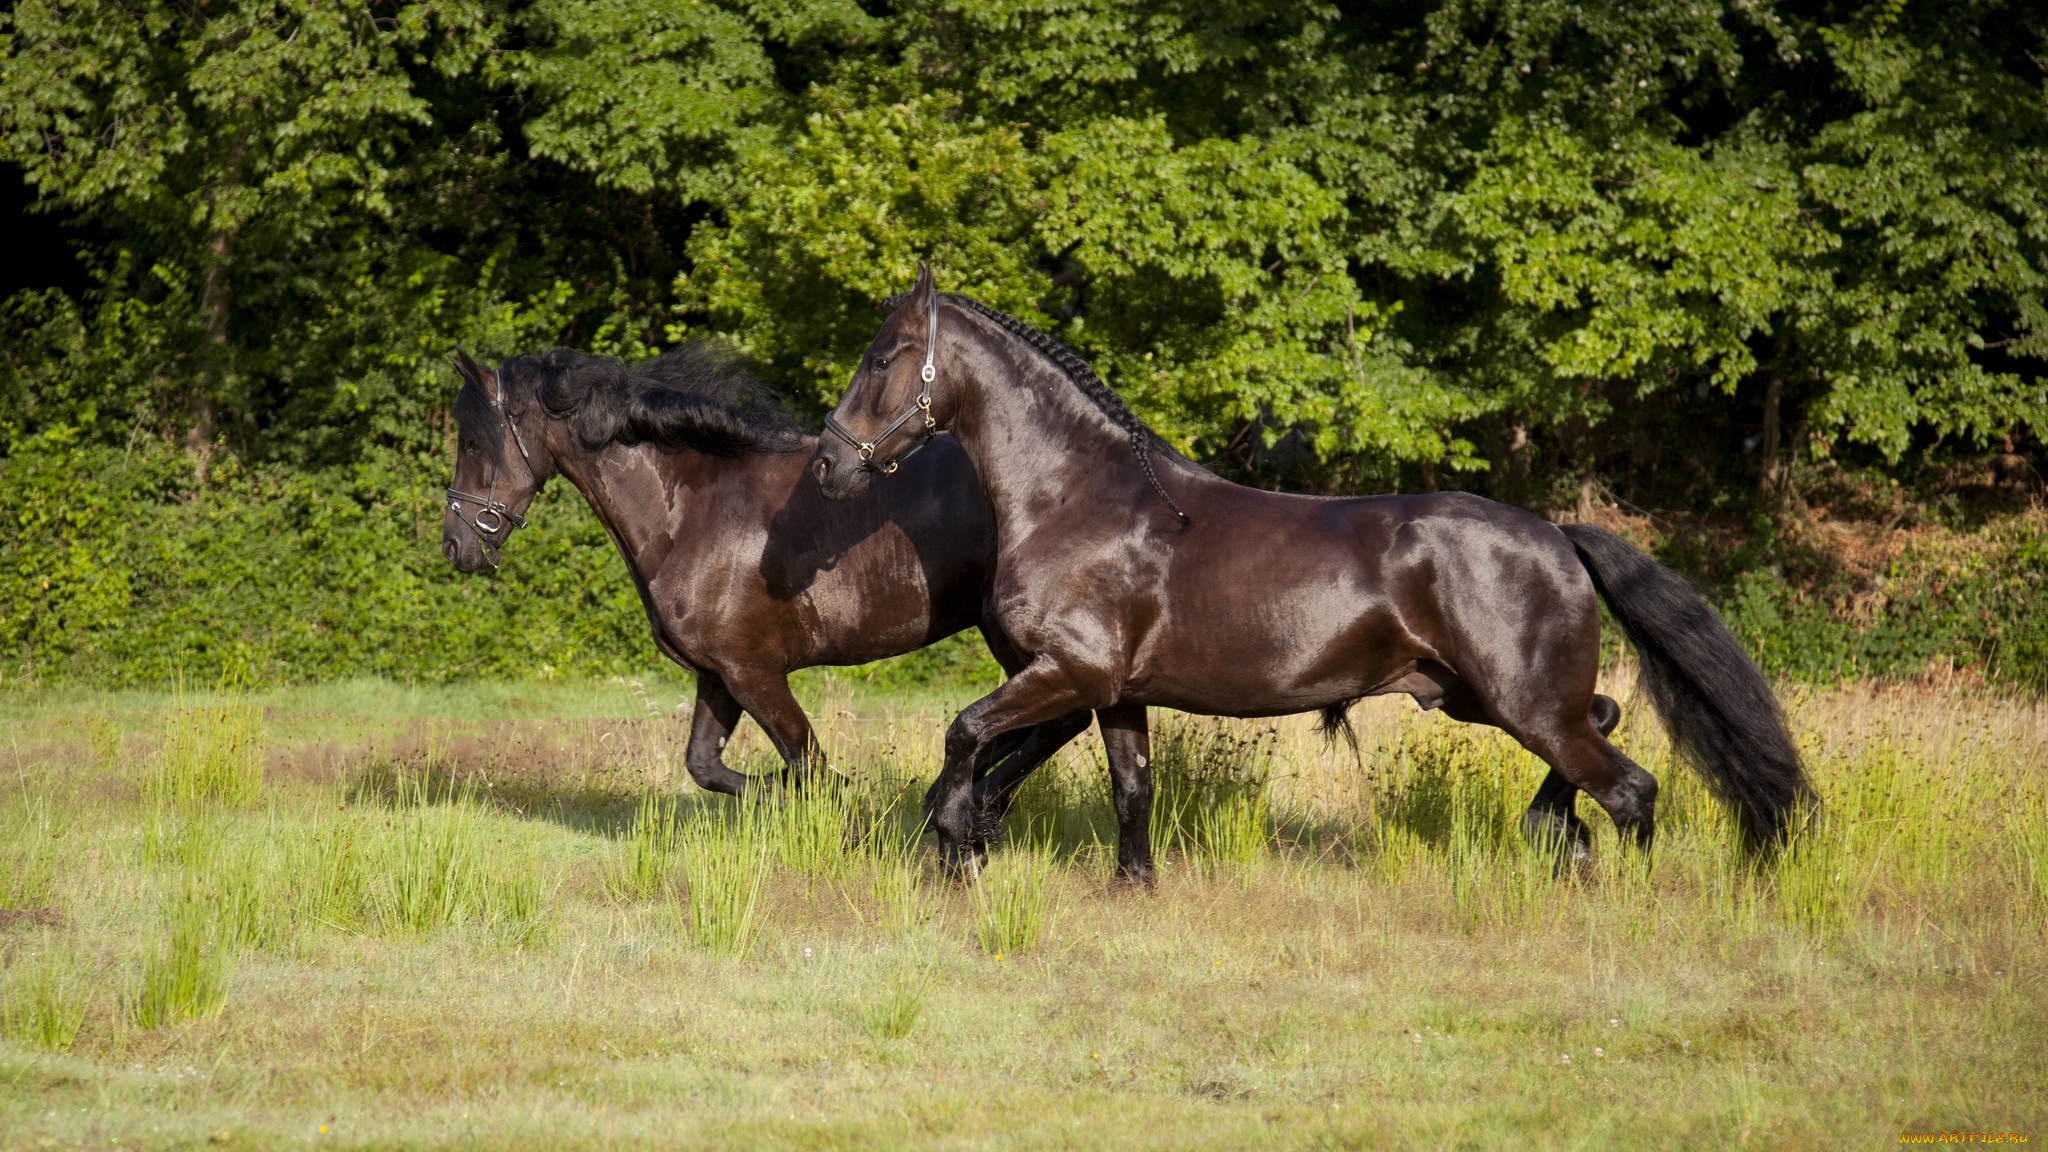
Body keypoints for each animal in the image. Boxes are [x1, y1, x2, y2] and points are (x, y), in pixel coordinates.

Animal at [442, 338, 1097, 787]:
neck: (691, 512)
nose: (455, 544)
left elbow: (806, 765)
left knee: (1059, 721)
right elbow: (708, 767)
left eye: (474, 442)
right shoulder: (718, 674)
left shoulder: (755, 673)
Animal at [811, 264, 1810, 877]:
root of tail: (1557, 536)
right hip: (1475, 696)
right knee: (1598, 725)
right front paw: (1129, 884)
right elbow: (1129, 790)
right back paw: (1553, 834)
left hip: (1520, 703)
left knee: (1629, 786)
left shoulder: (1068, 673)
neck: (1079, 500)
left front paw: (955, 839)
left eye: (883, 358)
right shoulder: (1112, 690)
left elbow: (965, 735)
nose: (826, 467)